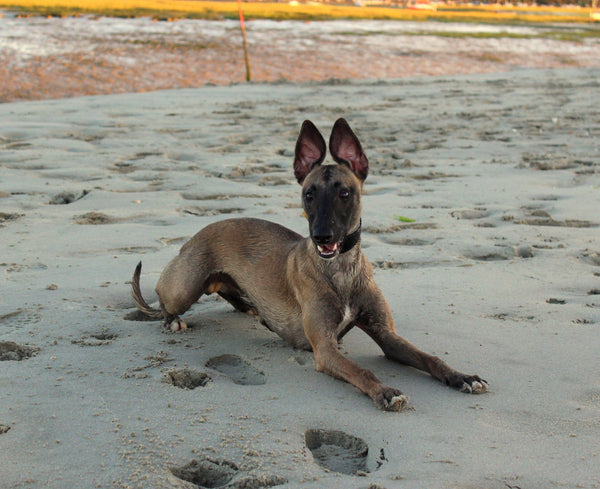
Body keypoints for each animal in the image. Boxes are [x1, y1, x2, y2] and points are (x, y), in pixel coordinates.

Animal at [131, 119, 488, 412]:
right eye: (308, 194)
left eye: (345, 193)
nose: (321, 236)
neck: (341, 270)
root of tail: (197, 235)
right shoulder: (325, 348)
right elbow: (362, 369)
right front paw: (385, 391)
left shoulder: (387, 335)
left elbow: (431, 357)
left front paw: (462, 376)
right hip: (186, 284)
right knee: (165, 301)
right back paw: (173, 320)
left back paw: (250, 307)